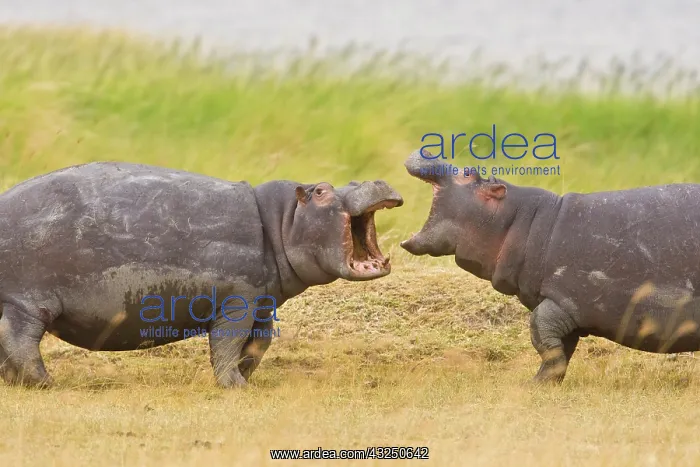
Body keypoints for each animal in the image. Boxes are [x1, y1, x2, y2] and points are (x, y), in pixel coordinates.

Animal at [0, 162, 402, 388]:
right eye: (321, 191)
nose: (375, 181)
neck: (282, 219)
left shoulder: (262, 302)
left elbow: (257, 345)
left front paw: (247, 380)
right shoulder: (238, 301)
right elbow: (227, 344)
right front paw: (235, 387)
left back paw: (16, 384)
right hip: (28, 302)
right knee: (20, 340)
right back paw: (47, 383)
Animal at [400, 148, 700, 383]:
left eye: (468, 173)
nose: (428, 149)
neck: (525, 222)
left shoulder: (563, 298)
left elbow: (541, 333)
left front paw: (532, 385)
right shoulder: (562, 305)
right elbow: (561, 346)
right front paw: (544, 382)